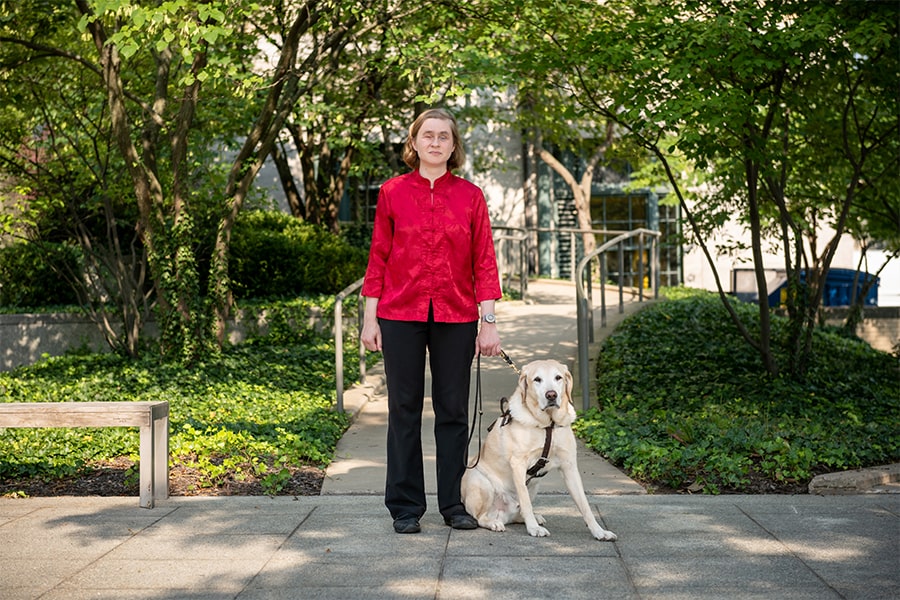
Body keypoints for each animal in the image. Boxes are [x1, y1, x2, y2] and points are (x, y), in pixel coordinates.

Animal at [464, 360, 620, 544]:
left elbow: (585, 505)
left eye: (558, 377)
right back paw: (495, 523)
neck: (548, 425)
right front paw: (533, 529)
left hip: (534, 485)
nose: (551, 395)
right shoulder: (518, 464)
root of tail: (501, 515)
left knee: (518, 513)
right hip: (481, 482)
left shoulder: (569, 466)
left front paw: (599, 531)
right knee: (481, 517)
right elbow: (525, 501)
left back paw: (532, 517)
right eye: (537, 379)